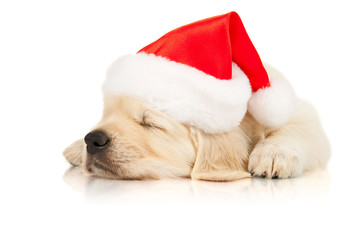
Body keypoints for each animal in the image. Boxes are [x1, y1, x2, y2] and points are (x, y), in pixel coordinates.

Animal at [63, 64, 330, 181]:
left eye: (150, 123)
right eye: (107, 115)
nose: (92, 140)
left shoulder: (303, 117)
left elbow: (296, 129)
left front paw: (274, 154)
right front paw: (77, 146)